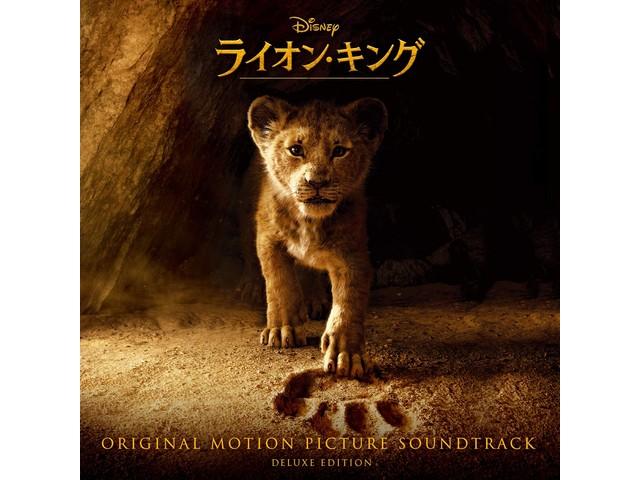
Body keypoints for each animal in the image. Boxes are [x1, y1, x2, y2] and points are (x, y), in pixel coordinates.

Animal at [246, 95, 388, 378]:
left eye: (339, 151)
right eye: (295, 150)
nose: (317, 182)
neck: (309, 220)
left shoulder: (353, 254)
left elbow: (348, 301)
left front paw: (347, 354)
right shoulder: (268, 239)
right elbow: (279, 283)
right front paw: (283, 329)